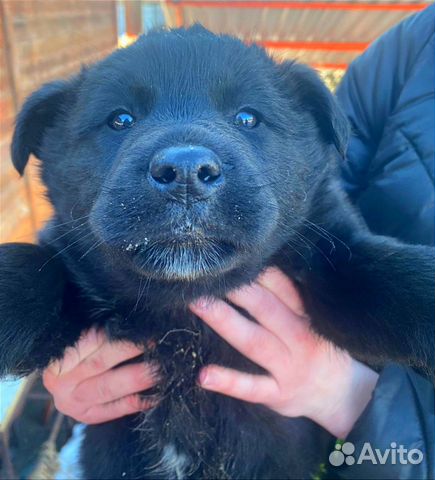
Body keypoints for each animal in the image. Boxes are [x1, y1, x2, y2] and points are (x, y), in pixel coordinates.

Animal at [1, 27, 434, 480]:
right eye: (120, 120)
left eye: (247, 118)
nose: (186, 172)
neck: (185, 307)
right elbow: (36, 272)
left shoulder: (333, 250)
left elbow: (387, 276)